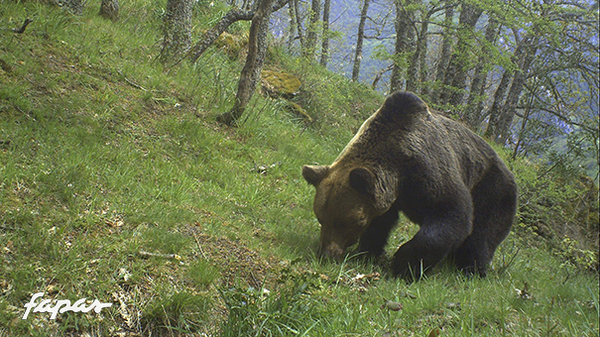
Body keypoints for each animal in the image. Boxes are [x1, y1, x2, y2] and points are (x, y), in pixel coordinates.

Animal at [302, 90, 516, 278]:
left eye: (345, 221)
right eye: (321, 217)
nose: (327, 253)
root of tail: (509, 171)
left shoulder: (427, 169)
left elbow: (452, 211)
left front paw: (404, 264)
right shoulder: (388, 195)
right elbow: (380, 223)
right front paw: (369, 252)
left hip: (493, 190)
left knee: (481, 236)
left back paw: (472, 270)